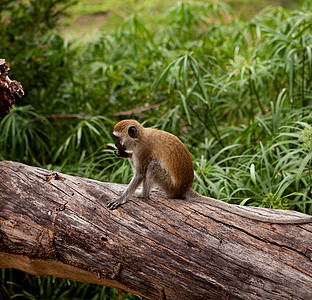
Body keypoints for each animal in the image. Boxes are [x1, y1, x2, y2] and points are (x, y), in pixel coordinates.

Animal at [108, 118, 312, 224]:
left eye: (118, 138)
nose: (117, 146)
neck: (141, 136)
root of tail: (185, 188)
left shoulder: (143, 151)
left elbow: (140, 174)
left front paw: (122, 198)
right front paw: (122, 154)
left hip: (170, 186)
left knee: (152, 167)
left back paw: (145, 195)